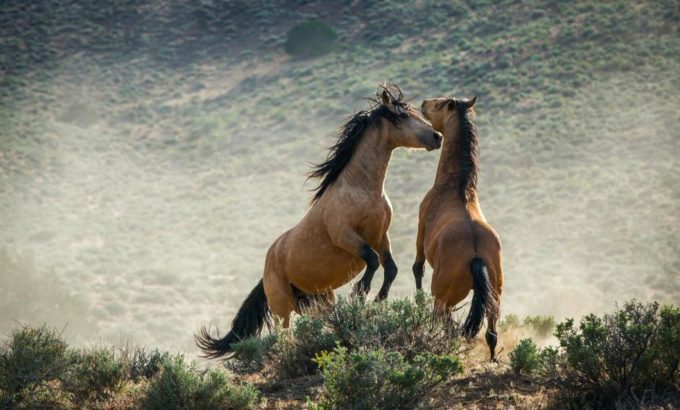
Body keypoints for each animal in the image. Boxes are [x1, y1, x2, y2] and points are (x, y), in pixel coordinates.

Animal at [197, 85, 440, 358]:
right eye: (402, 116)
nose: (437, 136)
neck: (362, 189)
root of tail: (266, 267)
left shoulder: (380, 236)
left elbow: (390, 268)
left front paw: (377, 300)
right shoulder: (346, 236)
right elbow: (373, 261)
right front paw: (360, 293)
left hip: (318, 300)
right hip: (282, 307)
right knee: (283, 335)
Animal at [412, 97, 502, 360]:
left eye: (441, 104)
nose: (424, 103)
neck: (456, 186)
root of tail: (476, 255)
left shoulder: (420, 230)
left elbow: (417, 268)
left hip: (443, 297)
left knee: (444, 322)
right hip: (495, 296)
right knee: (491, 332)